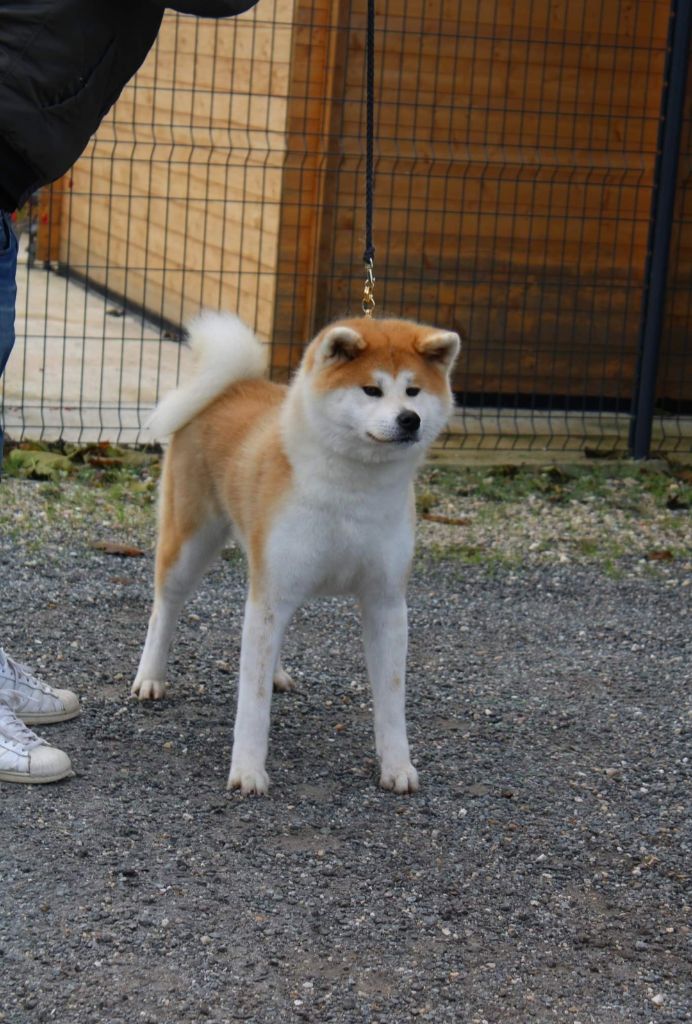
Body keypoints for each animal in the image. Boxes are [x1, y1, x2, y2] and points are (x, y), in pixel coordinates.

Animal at [134, 315, 458, 794]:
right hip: (189, 545)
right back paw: (151, 677)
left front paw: (397, 766)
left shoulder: (385, 601)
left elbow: (391, 700)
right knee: (165, 609)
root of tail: (235, 385)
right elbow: (252, 704)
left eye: (414, 391)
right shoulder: (271, 595)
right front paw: (248, 771)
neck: (352, 491)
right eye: (372, 390)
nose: (409, 419)